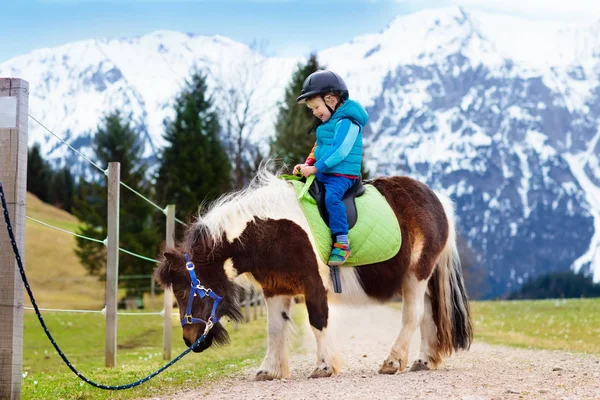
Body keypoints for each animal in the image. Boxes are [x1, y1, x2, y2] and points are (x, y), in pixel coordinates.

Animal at [155, 167, 474, 380]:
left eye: (182, 290)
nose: (190, 340)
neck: (269, 229)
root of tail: (438, 199)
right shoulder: (275, 288)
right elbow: (275, 328)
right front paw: (268, 370)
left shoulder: (313, 284)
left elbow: (318, 321)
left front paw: (324, 367)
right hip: (426, 279)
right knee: (430, 314)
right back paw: (423, 361)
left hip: (416, 275)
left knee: (413, 315)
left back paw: (393, 362)